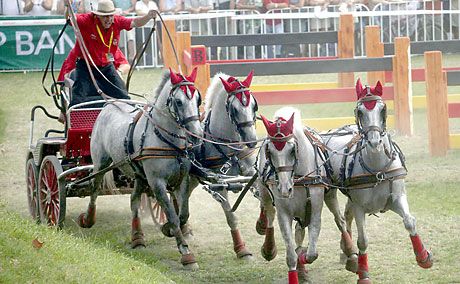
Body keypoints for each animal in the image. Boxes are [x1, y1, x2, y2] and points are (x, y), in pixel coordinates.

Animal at [80, 67, 203, 270]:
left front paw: (168, 229)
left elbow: (183, 214)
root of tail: (109, 104)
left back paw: (137, 237)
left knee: (134, 200)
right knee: (94, 188)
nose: (197, 134)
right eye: (178, 101)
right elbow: (173, 215)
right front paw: (186, 253)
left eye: (198, 99)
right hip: (100, 163)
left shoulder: (182, 179)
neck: (167, 141)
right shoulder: (157, 183)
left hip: (139, 174)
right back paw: (88, 219)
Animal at [185, 71, 260, 260]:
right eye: (234, 109)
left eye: (253, 105)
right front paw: (241, 249)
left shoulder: (250, 173)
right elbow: (231, 216)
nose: (251, 140)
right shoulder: (219, 184)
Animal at [258, 106, 356, 284]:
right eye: (270, 151)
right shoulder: (284, 214)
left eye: (292, 149)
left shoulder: (315, 209)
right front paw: (296, 265)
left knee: (339, 220)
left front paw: (302, 256)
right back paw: (269, 248)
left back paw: (350, 252)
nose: (285, 189)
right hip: (265, 194)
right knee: (270, 214)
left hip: (329, 195)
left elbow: (311, 253)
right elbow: (290, 253)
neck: (298, 178)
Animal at [322, 80, 434, 284]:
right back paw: (349, 252)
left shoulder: (396, 198)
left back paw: (347, 254)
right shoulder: (360, 207)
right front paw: (363, 274)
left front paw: (423, 257)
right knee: (340, 218)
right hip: (330, 192)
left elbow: (409, 221)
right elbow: (363, 240)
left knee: (347, 215)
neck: (377, 169)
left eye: (383, 109)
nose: (374, 142)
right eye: (360, 111)